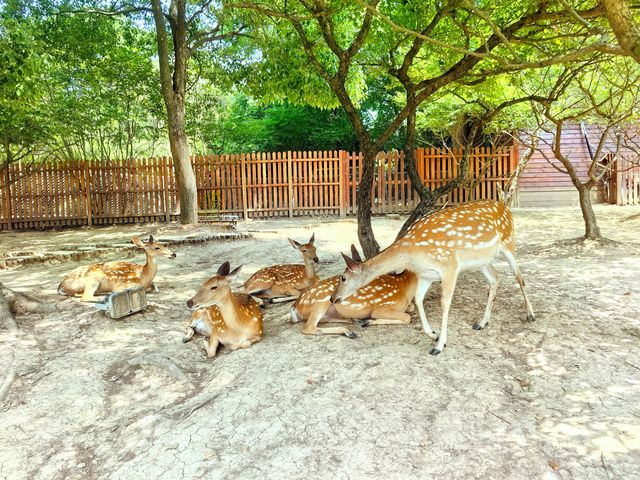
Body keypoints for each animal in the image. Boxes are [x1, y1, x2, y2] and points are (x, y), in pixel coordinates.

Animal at [290, 246, 420, 340]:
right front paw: (369, 321)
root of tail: (295, 306)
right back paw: (349, 331)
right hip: (321, 300)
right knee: (309, 327)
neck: (405, 288)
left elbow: (411, 308)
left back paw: (354, 321)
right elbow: (407, 317)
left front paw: (366, 321)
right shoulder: (381, 307)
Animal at [330, 200, 536, 356]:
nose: (333, 298)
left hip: (509, 242)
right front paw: (433, 335)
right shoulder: (426, 275)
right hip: (481, 261)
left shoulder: (449, 267)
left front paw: (439, 345)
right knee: (495, 278)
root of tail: (505, 206)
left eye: (343, 278)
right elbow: (418, 300)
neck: (411, 255)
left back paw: (530, 314)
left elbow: (444, 304)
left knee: (520, 276)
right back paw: (482, 322)